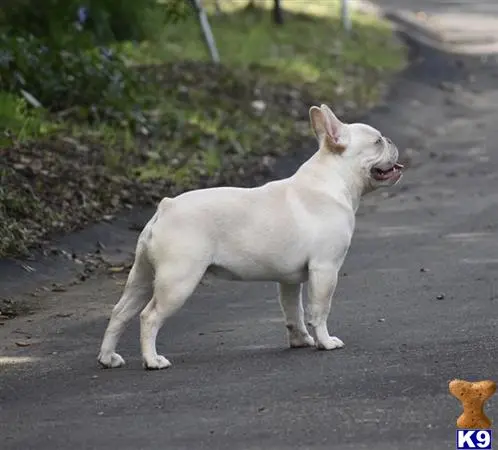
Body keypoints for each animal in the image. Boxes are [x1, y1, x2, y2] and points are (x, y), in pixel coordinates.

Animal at [96, 104, 400, 370]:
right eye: (377, 142)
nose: (390, 140)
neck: (334, 178)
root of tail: (165, 208)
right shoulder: (325, 270)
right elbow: (318, 310)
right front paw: (325, 342)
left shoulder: (290, 280)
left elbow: (294, 312)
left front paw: (301, 340)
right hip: (178, 280)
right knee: (149, 317)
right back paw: (153, 361)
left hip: (142, 276)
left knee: (120, 312)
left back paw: (108, 358)